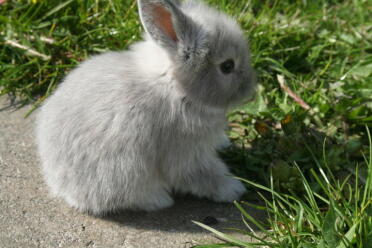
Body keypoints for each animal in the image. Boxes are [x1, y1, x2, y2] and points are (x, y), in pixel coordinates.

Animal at [35, 0, 256, 215]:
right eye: (227, 66)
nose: (251, 89)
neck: (177, 88)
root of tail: (58, 184)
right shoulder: (185, 153)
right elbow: (202, 175)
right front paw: (234, 189)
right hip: (126, 171)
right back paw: (159, 200)